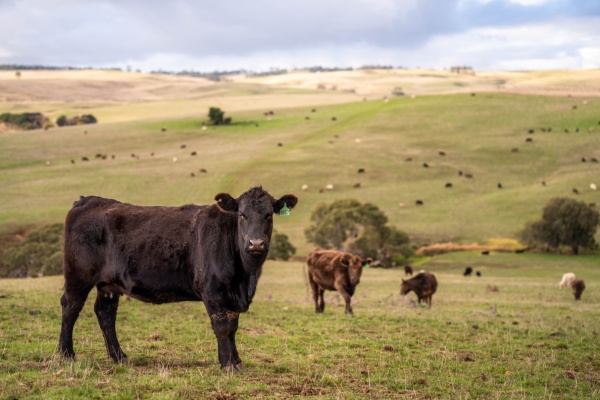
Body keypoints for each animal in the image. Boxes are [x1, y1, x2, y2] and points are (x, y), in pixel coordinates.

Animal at [58, 188, 298, 372]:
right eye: (241, 214)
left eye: (269, 215)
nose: (256, 243)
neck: (245, 278)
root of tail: (89, 200)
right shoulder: (212, 291)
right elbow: (222, 327)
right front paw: (227, 364)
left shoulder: (232, 296)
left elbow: (232, 327)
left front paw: (236, 361)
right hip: (78, 276)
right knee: (70, 308)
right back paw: (66, 353)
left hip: (108, 284)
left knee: (105, 314)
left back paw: (119, 356)